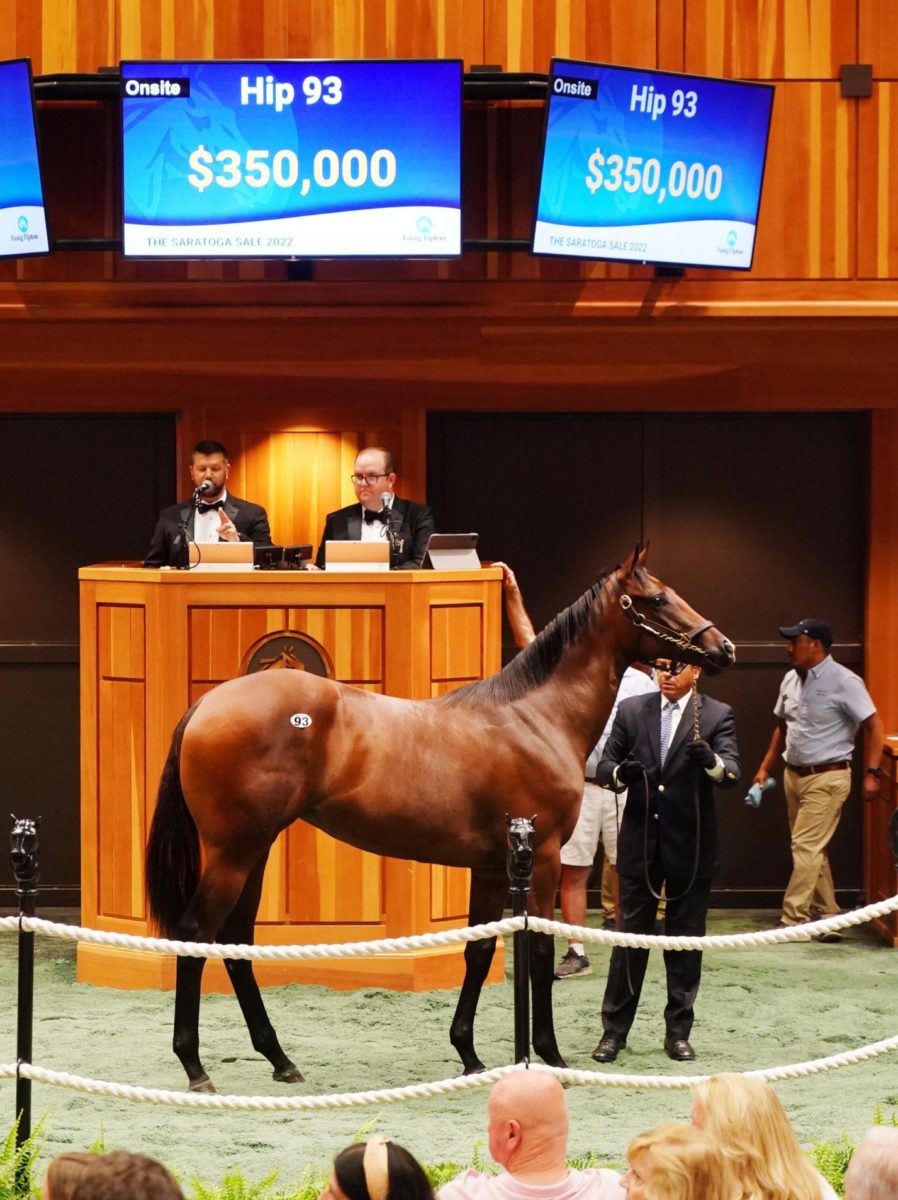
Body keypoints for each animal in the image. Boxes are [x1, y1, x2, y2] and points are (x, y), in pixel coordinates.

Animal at [147, 549, 734, 1094]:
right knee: (196, 936)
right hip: (234, 853)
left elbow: (479, 951)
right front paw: (550, 1057)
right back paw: (195, 1067)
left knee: (235, 943)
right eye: (656, 598)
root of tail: (205, 705)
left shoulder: (494, 868)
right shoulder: (542, 860)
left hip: (256, 850)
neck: (537, 718)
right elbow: (540, 950)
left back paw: (280, 1060)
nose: (722, 647)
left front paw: (469, 1055)